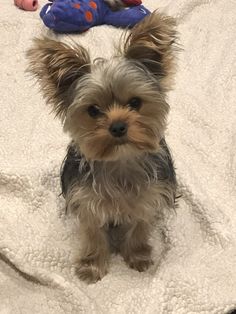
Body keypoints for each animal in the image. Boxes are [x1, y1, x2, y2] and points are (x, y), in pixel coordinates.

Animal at [27, 11, 177, 282]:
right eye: (93, 110)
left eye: (135, 103)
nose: (117, 126)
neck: (120, 160)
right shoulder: (87, 202)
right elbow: (93, 233)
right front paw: (91, 266)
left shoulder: (148, 198)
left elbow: (140, 226)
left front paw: (137, 256)